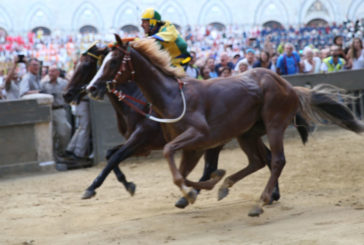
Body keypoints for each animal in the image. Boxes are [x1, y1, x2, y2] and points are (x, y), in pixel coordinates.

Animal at [87, 33, 364, 215]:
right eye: (100, 62)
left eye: (113, 62)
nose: (92, 88)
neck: (172, 97)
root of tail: (289, 86)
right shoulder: (192, 148)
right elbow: (181, 175)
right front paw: (204, 186)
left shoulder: (197, 136)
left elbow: (172, 162)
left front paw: (193, 192)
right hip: (247, 133)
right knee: (258, 161)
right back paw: (227, 186)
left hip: (274, 125)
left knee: (276, 161)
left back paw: (261, 202)